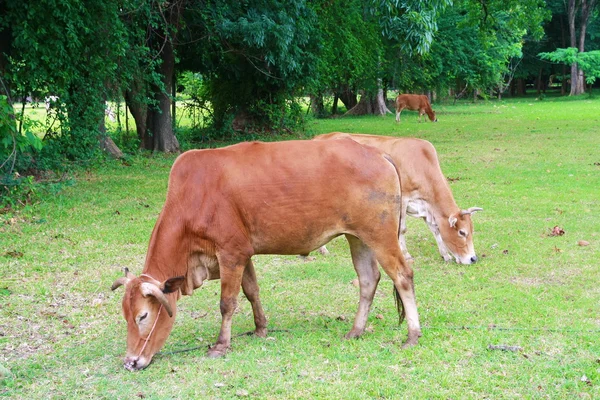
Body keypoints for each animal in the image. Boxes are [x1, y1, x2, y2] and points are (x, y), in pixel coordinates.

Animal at [112, 139, 422, 370]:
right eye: (126, 316)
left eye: (142, 316)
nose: (131, 361)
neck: (192, 197)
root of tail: (379, 154)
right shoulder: (243, 254)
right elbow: (252, 291)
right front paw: (260, 328)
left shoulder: (230, 254)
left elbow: (227, 303)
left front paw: (221, 345)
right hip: (357, 237)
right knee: (368, 279)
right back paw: (356, 330)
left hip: (379, 235)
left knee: (403, 275)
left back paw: (412, 335)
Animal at [314, 133, 482, 266]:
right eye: (462, 232)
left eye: (471, 230)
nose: (473, 258)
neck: (421, 165)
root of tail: (319, 138)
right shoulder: (403, 198)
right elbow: (402, 229)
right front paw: (406, 255)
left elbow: (435, 229)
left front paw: (445, 255)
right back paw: (323, 249)